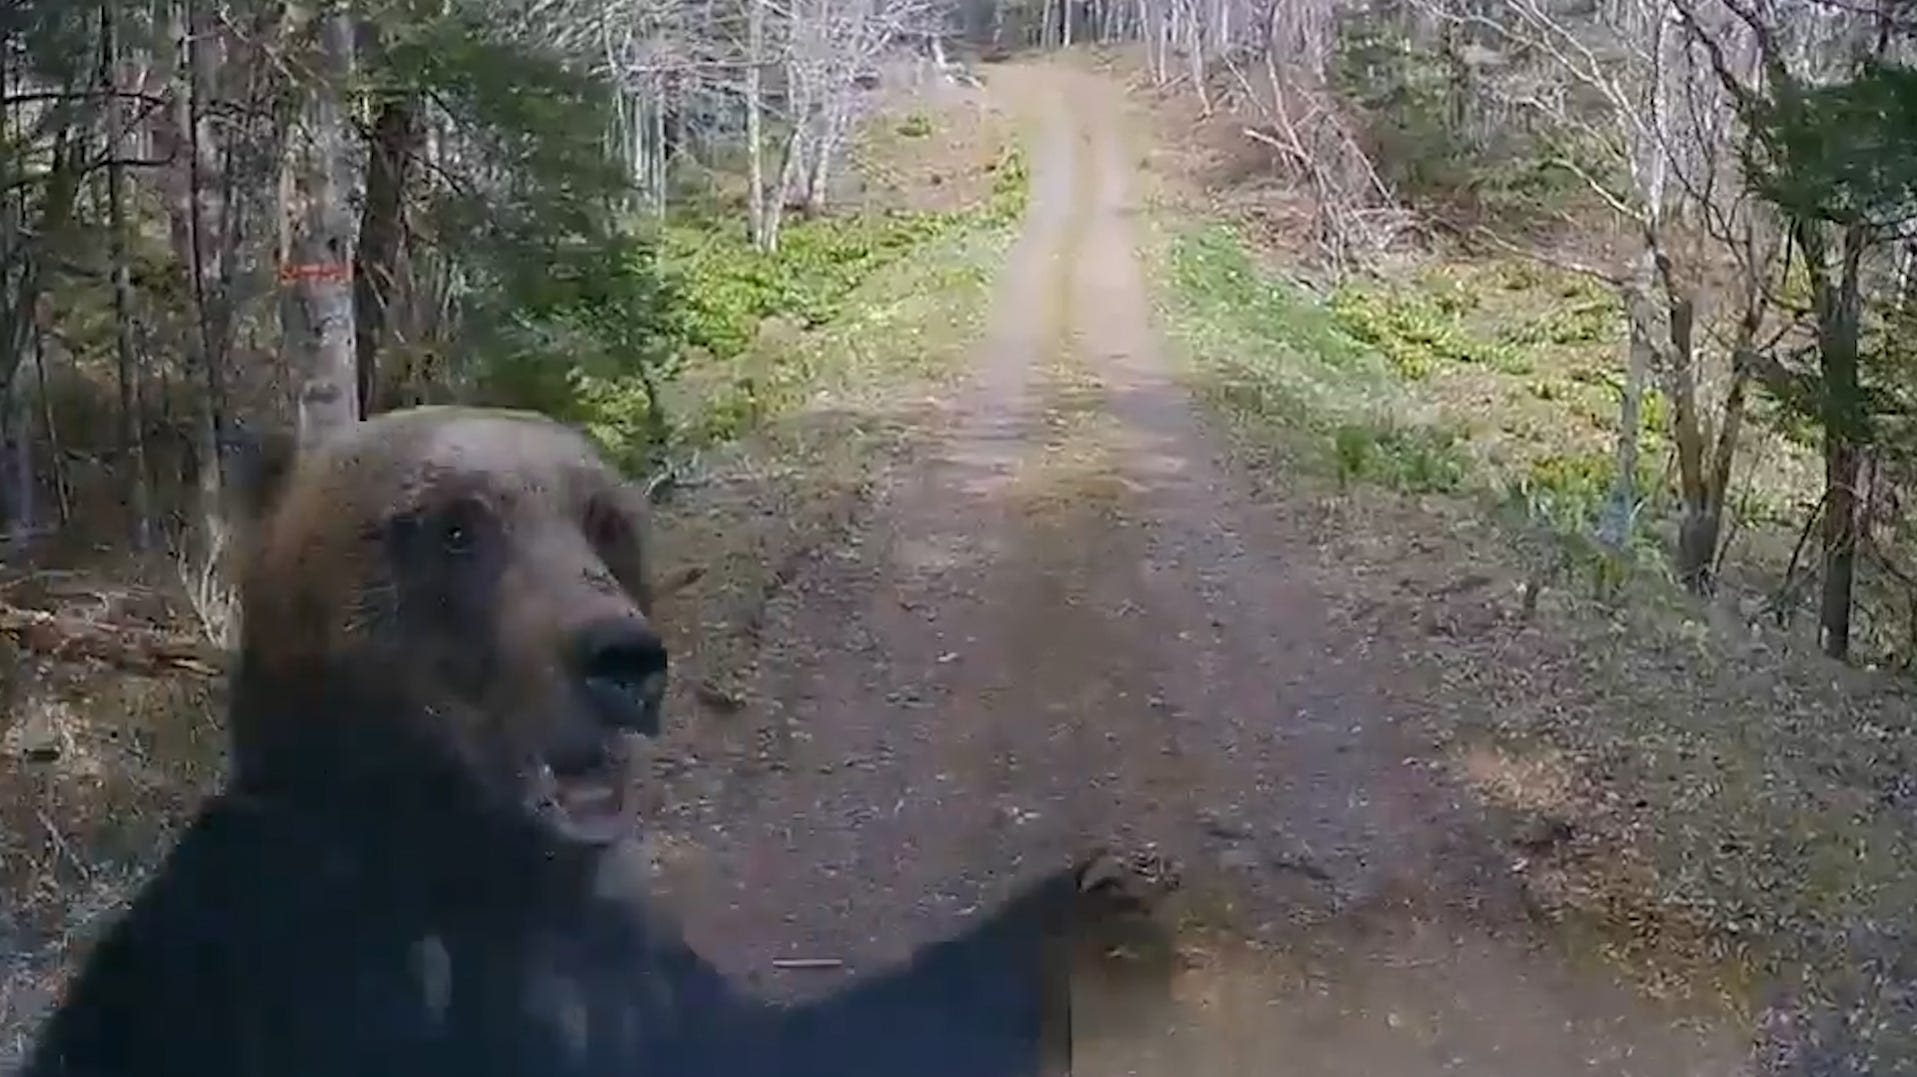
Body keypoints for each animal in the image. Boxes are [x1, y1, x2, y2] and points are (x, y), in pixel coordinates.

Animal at [22, 402, 1165, 1073]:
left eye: (606, 521)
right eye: (455, 524)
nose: (624, 660)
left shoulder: (628, 972)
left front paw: (1093, 893)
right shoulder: (274, 953)